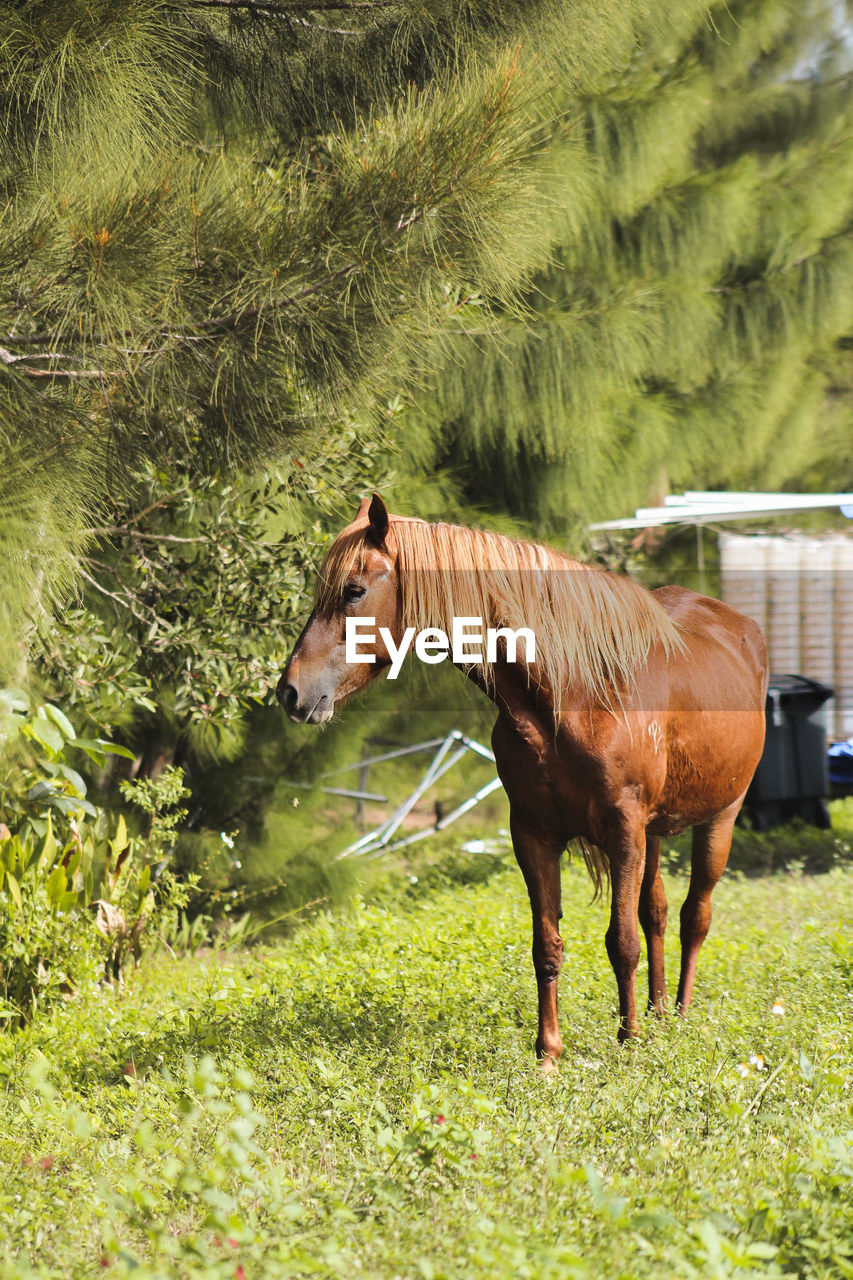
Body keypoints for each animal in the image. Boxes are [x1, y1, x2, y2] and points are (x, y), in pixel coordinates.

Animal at [275, 496, 768, 1070]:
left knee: (695, 916)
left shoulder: (624, 830)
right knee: (659, 914)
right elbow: (547, 944)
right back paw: (660, 1010)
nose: (291, 692)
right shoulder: (534, 834)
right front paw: (549, 1053)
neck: (573, 691)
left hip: (719, 818)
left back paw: (681, 1016)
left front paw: (628, 1044)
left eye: (353, 590)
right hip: (656, 834)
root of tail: (740, 627)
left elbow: (621, 941)